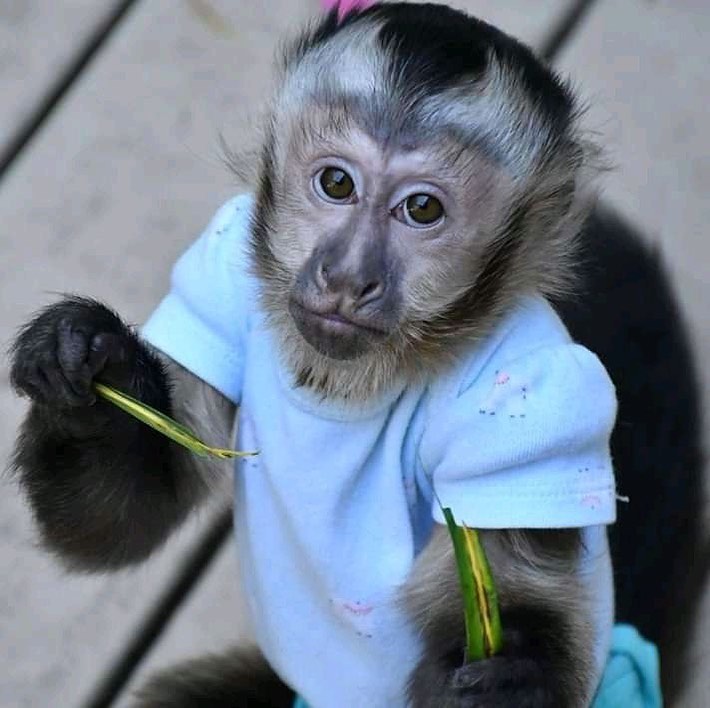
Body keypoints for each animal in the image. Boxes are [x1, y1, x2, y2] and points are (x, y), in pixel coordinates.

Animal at [7, 4, 704, 707]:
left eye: (421, 208)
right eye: (336, 183)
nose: (347, 276)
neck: (345, 386)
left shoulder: (534, 390)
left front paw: (511, 687)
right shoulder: (220, 262)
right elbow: (125, 521)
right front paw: (82, 368)